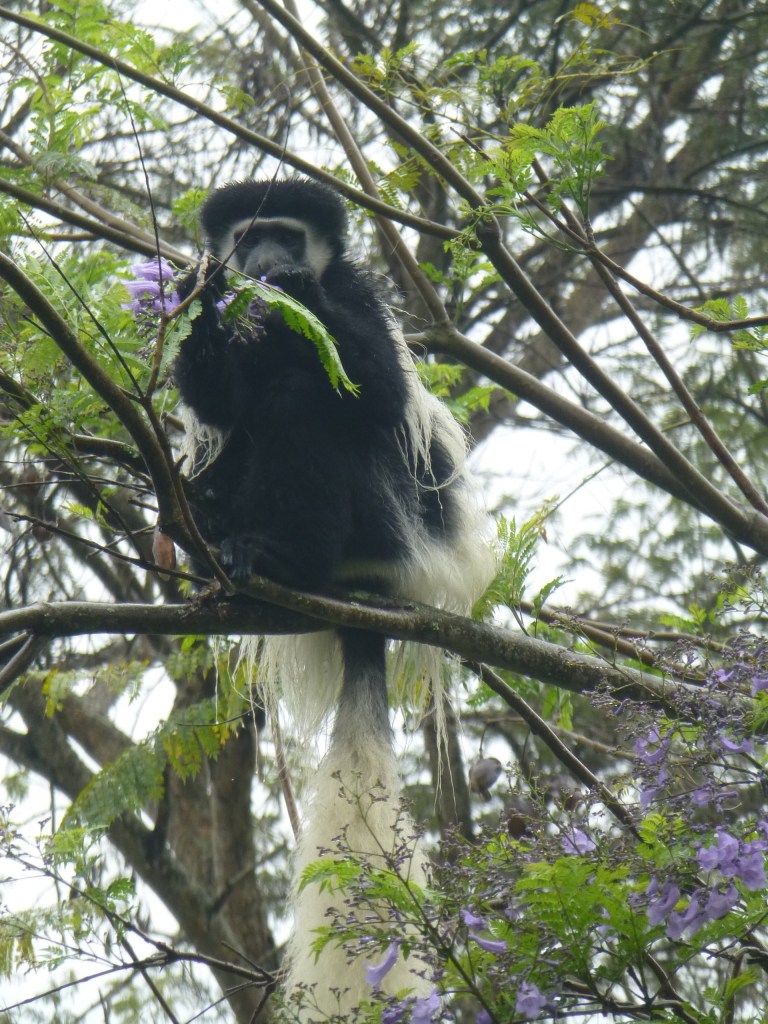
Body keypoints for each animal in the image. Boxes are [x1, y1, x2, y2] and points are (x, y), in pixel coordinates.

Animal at [173, 178, 495, 1018]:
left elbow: (373, 384)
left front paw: (298, 289)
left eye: (286, 233)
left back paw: (281, 554)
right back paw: (212, 534)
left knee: (305, 401)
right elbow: (215, 401)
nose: (266, 260)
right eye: (244, 236)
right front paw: (202, 290)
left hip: (382, 519)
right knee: (245, 427)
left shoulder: (356, 297)